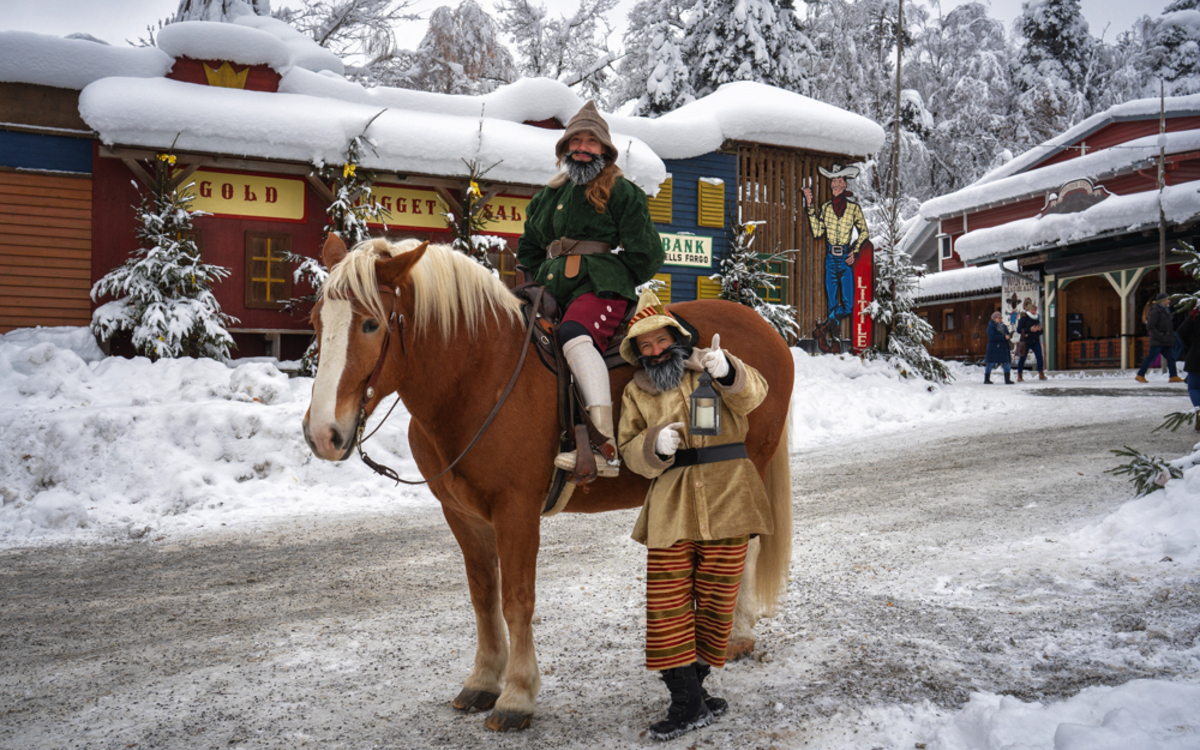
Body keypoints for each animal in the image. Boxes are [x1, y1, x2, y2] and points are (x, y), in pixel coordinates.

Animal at [302, 235, 796, 729]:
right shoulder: (462, 515)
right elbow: (484, 596)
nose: (323, 434)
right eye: (316, 320)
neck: (477, 376)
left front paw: (517, 695)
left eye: (370, 324)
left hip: (745, 466)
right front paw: (484, 680)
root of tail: (765, 328)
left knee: (747, 546)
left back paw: (737, 634)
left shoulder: (516, 510)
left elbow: (517, 599)